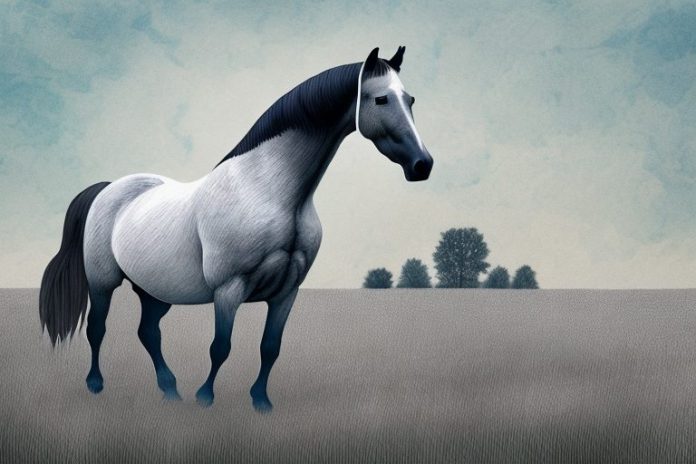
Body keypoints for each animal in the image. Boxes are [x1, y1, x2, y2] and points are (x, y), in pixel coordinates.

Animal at [39, 46, 433, 411]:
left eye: (411, 99)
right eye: (380, 98)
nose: (422, 164)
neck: (266, 190)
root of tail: (108, 189)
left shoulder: (287, 292)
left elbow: (270, 348)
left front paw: (260, 401)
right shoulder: (229, 289)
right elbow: (221, 347)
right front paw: (205, 397)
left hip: (155, 291)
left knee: (148, 332)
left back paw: (170, 389)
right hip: (103, 282)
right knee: (97, 328)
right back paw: (96, 384)